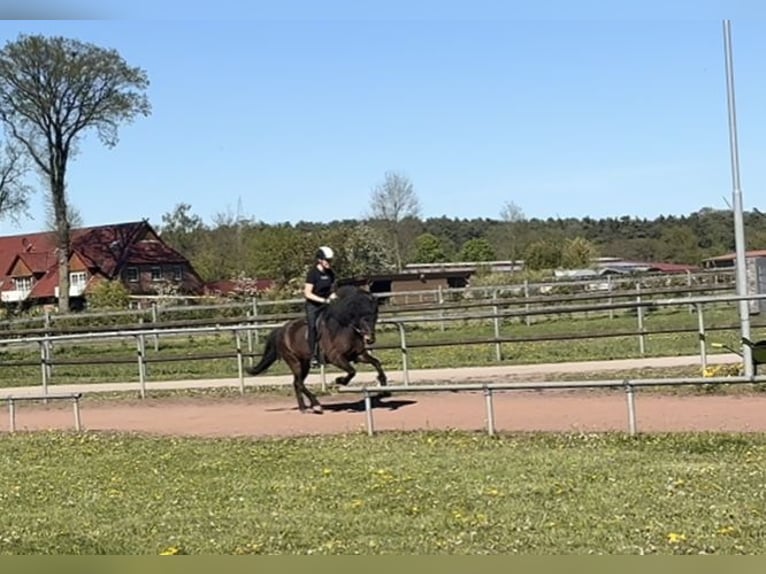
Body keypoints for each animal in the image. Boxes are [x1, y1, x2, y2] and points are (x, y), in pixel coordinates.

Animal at [245, 284, 388, 413]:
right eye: (363, 317)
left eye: (375, 316)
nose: (370, 339)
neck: (344, 329)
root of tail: (282, 329)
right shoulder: (336, 358)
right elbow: (352, 371)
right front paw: (340, 380)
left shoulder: (358, 355)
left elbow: (376, 363)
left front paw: (383, 384)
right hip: (294, 361)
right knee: (300, 383)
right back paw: (316, 405)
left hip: (304, 363)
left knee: (296, 383)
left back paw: (303, 408)